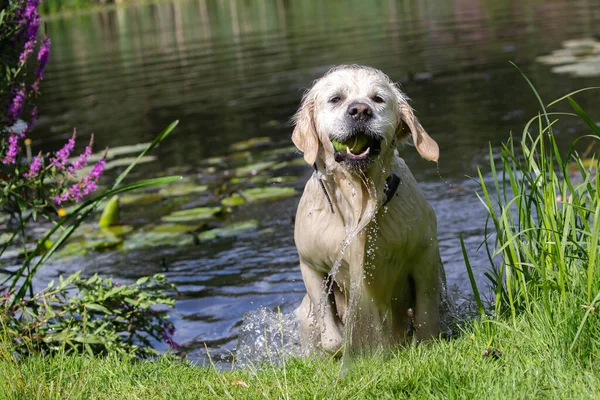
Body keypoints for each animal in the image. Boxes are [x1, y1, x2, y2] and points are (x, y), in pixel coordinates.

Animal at [290, 65, 446, 356]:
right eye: (336, 99)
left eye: (377, 99)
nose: (360, 110)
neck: (357, 197)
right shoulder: (311, 266)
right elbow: (332, 336)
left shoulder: (424, 254)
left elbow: (426, 314)